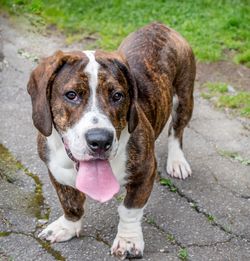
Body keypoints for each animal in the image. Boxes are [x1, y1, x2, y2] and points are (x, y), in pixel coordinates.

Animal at [27, 21, 195, 258]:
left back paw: (177, 161)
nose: (100, 141)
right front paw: (67, 226)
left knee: (176, 130)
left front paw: (128, 240)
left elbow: (130, 209)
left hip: (184, 96)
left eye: (117, 96)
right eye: (71, 95)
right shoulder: (56, 170)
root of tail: (159, 26)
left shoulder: (145, 171)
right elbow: (70, 202)